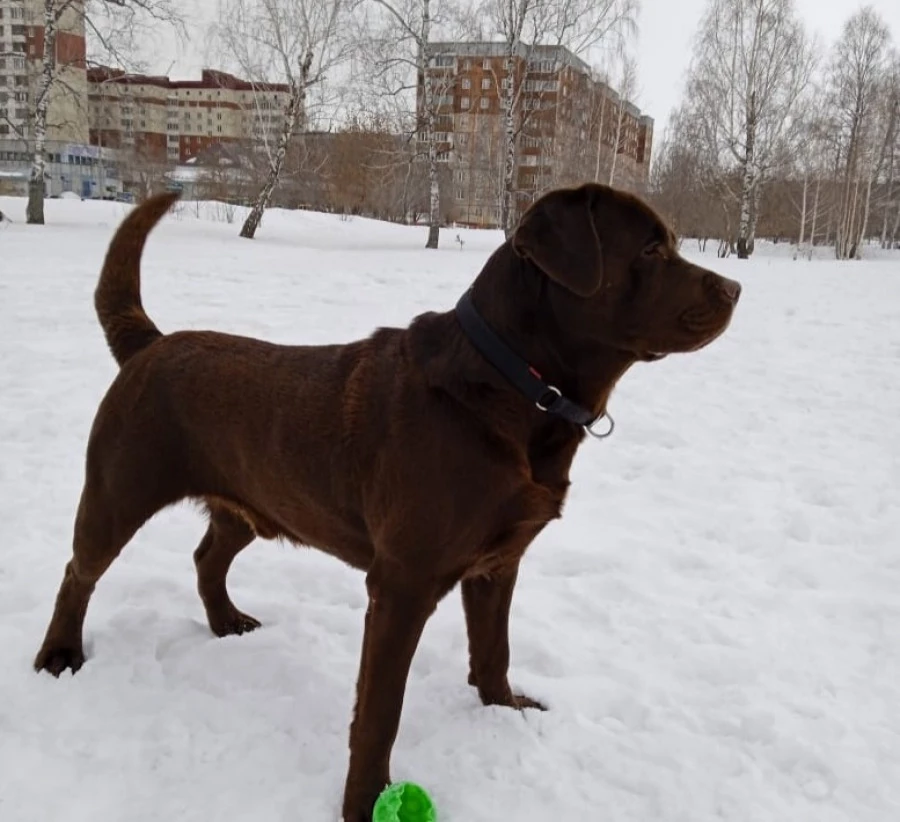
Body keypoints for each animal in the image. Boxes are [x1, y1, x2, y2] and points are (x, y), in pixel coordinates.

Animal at [33, 183, 740, 820]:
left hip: (253, 501)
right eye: (649, 249)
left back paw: (226, 621)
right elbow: (380, 712)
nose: (735, 289)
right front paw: (364, 800)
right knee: (79, 571)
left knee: (208, 556)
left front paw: (503, 710)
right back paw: (59, 655)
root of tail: (151, 342)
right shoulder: (403, 584)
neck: (515, 386)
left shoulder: (498, 563)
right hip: (117, 492)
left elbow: (494, 650)